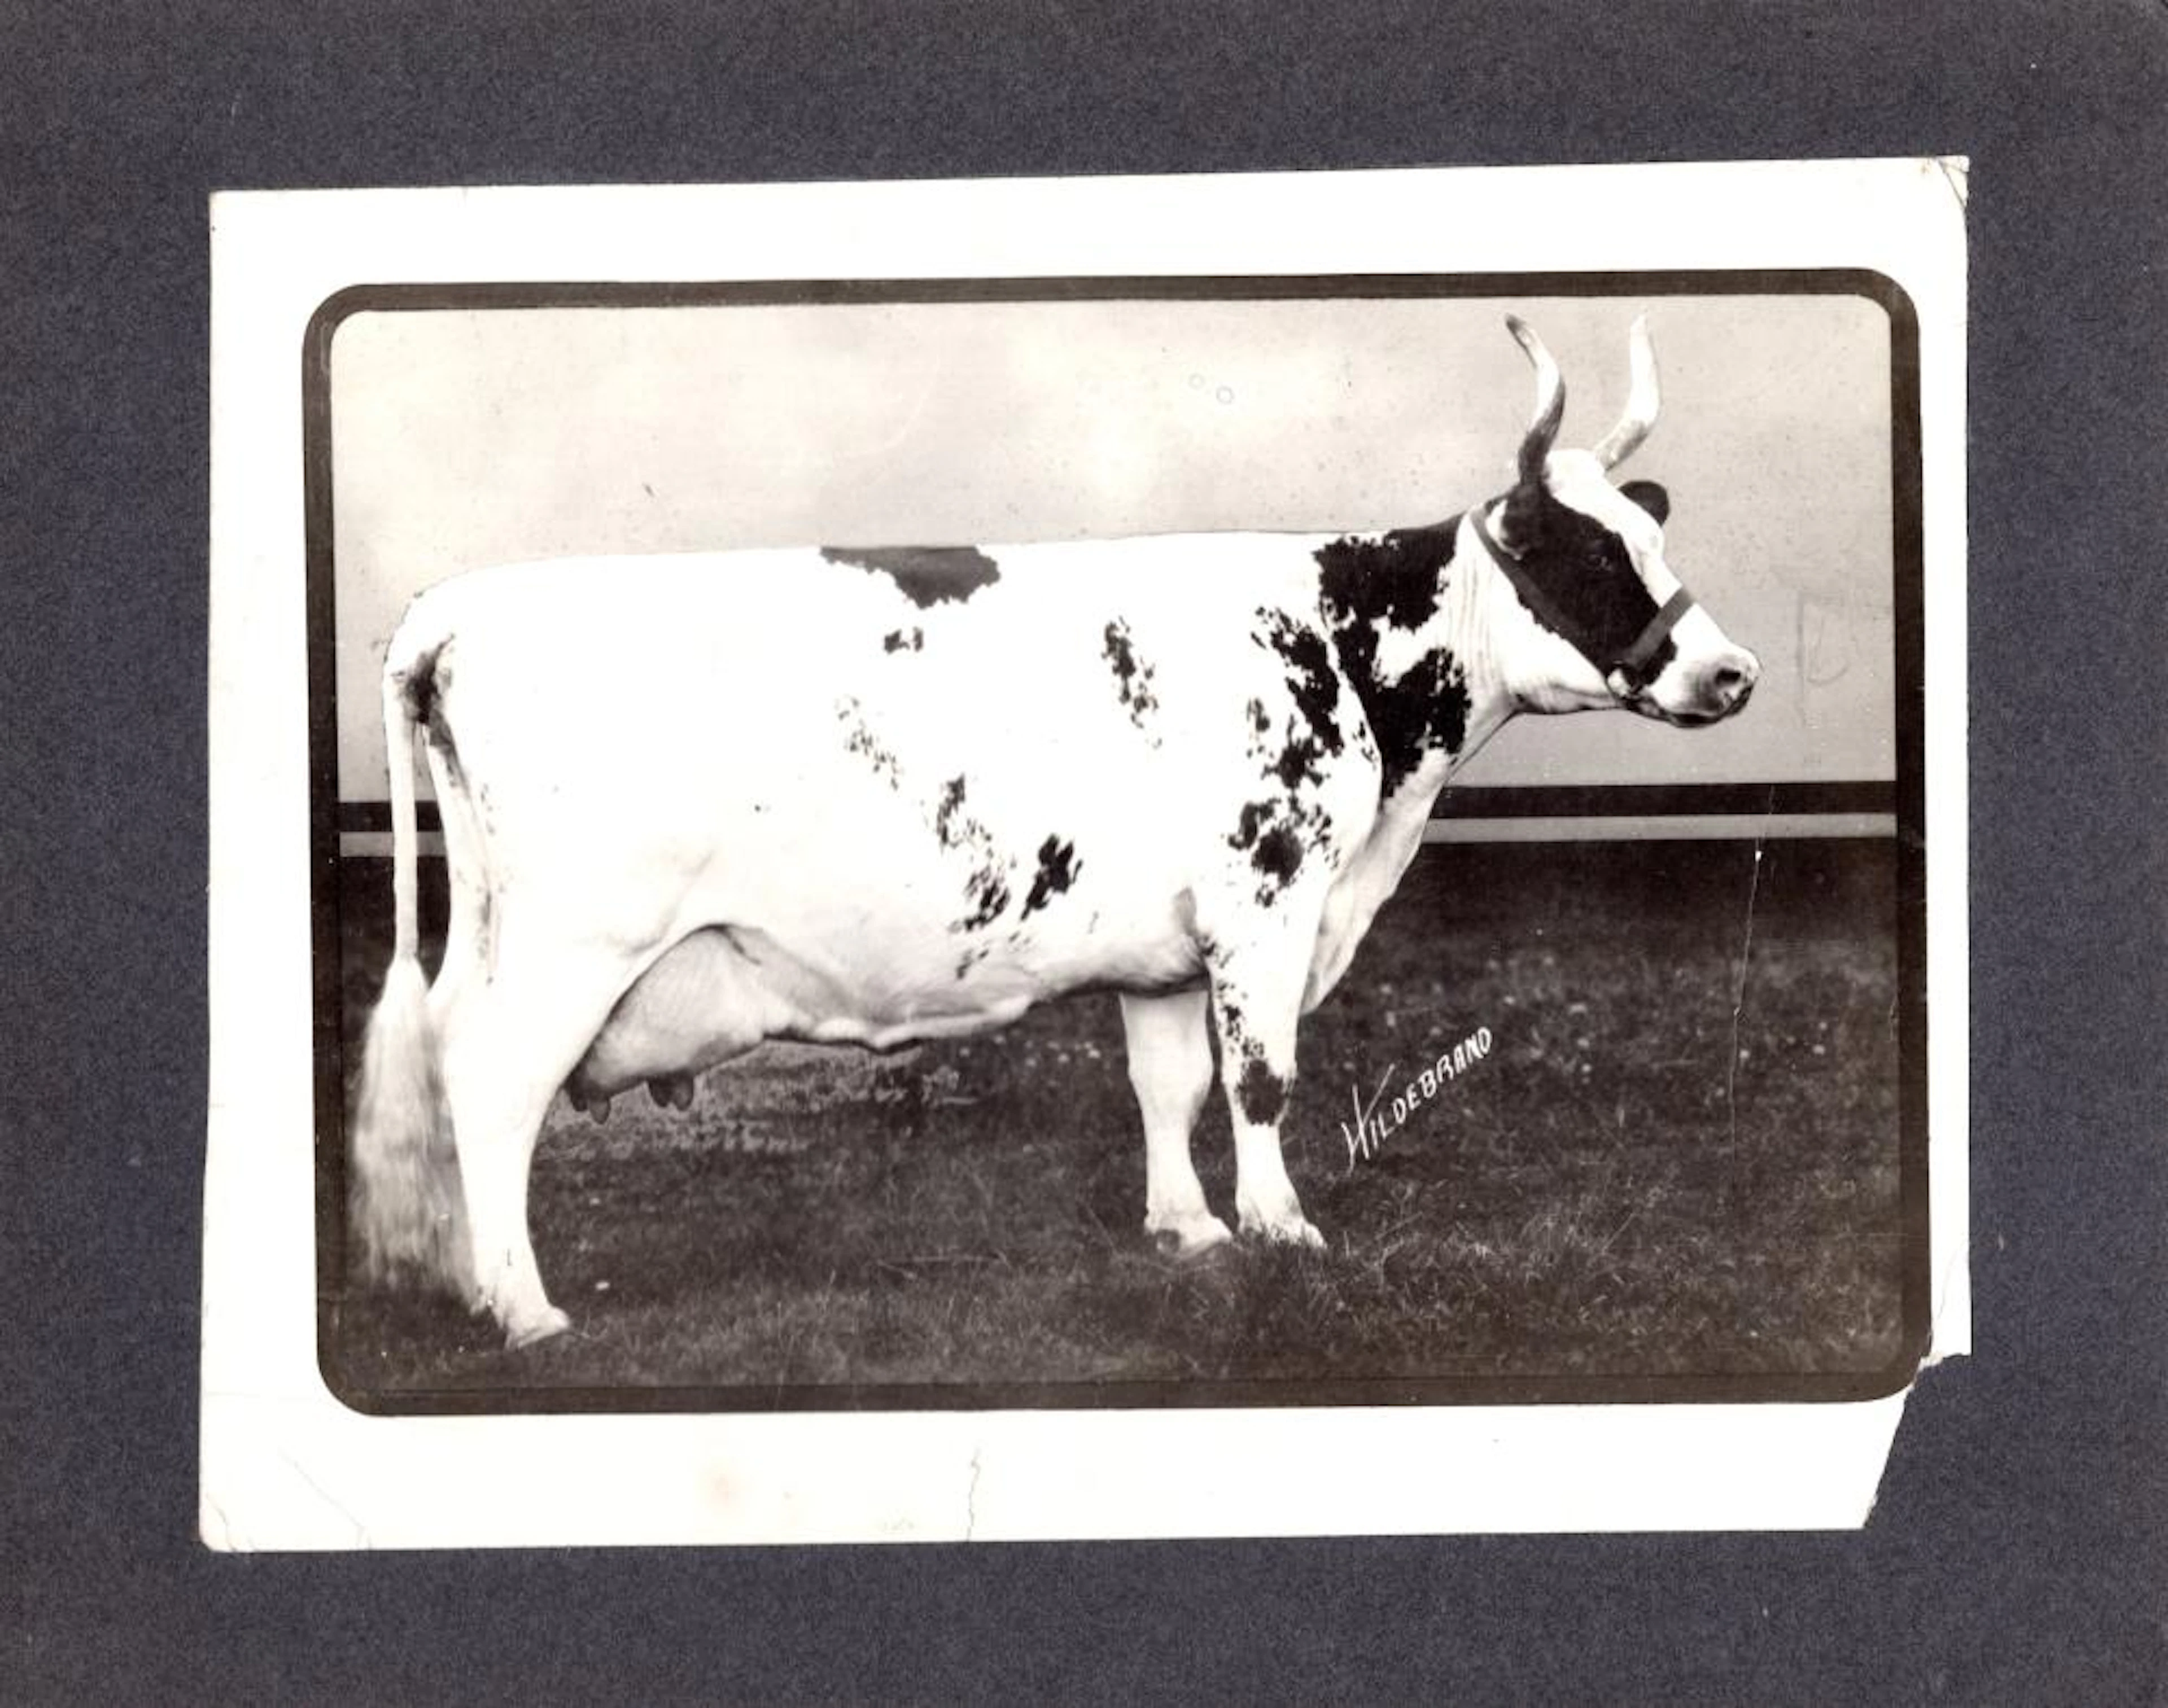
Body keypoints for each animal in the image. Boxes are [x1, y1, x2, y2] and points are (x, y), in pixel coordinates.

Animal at [349, 315, 1759, 1347]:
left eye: (1651, 536)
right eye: (1591, 558)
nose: (1733, 673)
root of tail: (452, 610)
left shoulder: (1168, 945)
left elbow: (1166, 1081)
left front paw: (1189, 1231)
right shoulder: (1267, 895)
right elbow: (1262, 1077)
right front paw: (1283, 1228)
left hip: (502, 934)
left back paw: (479, 1284)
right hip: (573, 943)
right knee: (492, 1085)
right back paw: (525, 1309)